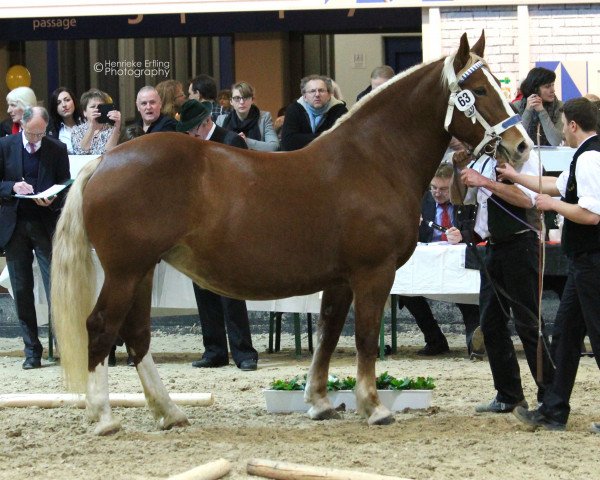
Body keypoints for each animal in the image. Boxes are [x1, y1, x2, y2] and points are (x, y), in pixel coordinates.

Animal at [51, 31, 528, 434]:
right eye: (479, 90)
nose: (521, 145)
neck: (373, 160)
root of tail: (105, 160)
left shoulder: (341, 279)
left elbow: (328, 335)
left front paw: (319, 403)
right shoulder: (374, 274)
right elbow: (366, 338)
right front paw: (374, 407)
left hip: (143, 269)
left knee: (135, 334)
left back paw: (169, 413)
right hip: (125, 271)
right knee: (101, 327)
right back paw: (104, 418)